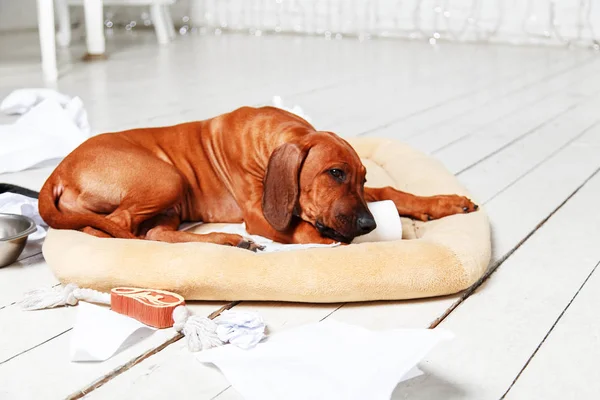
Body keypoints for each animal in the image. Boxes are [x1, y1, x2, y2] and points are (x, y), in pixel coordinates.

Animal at [37, 106, 478, 250]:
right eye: (333, 173)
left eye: (359, 177)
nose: (369, 224)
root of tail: (58, 170)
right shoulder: (261, 215)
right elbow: (304, 230)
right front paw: (333, 244)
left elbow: (391, 189)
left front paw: (443, 203)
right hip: (166, 177)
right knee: (114, 227)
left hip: (172, 199)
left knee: (155, 233)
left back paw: (227, 240)